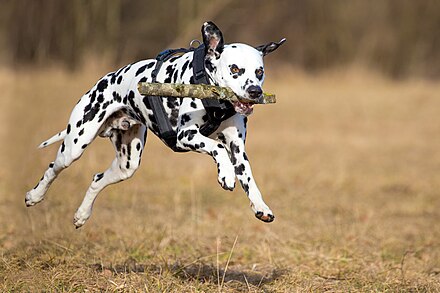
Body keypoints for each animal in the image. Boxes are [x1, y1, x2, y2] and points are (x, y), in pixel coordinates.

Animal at [24, 21, 286, 227]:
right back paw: (34, 195)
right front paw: (226, 175)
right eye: (235, 69)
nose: (255, 91)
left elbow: (249, 179)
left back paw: (81, 214)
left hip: (127, 163)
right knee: (53, 167)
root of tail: (104, 80)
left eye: (259, 71)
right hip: (75, 145)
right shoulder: (186, 136)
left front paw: (261, 207)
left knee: (97, 179)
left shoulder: (238, 149)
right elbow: (217, 148)